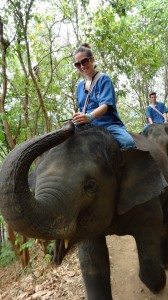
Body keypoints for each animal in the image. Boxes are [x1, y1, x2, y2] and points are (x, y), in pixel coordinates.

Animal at [0, 120, 168, 298]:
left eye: (90, 186)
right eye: (35, 182)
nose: (69, 124)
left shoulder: (146, 199)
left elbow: (151, 242)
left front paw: (158, 282)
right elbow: (93, 264)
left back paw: (164, 264)